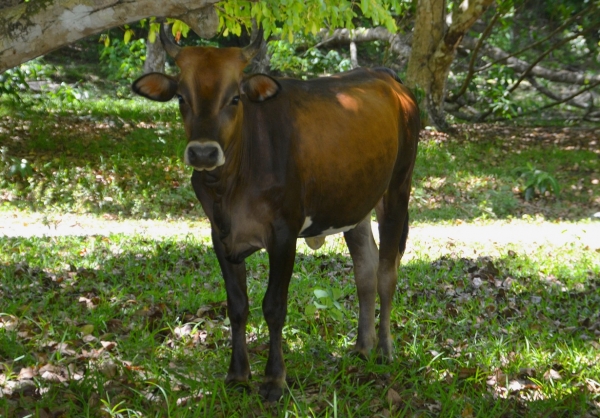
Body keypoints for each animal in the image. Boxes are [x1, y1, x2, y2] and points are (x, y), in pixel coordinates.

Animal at [133, 23, 420, 402]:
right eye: (181, 97)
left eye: (235, 98)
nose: (203, 153)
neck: (231, 186)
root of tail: (386, 76)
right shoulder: (219, 234)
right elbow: (237, 305)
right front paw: (238, 374)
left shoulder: (284, 233)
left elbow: (274, 306)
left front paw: (274, 380)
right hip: (353, 202)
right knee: (365, 269)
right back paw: (363, 346)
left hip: (398, 188)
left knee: (387, 270)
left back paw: (385, 349)